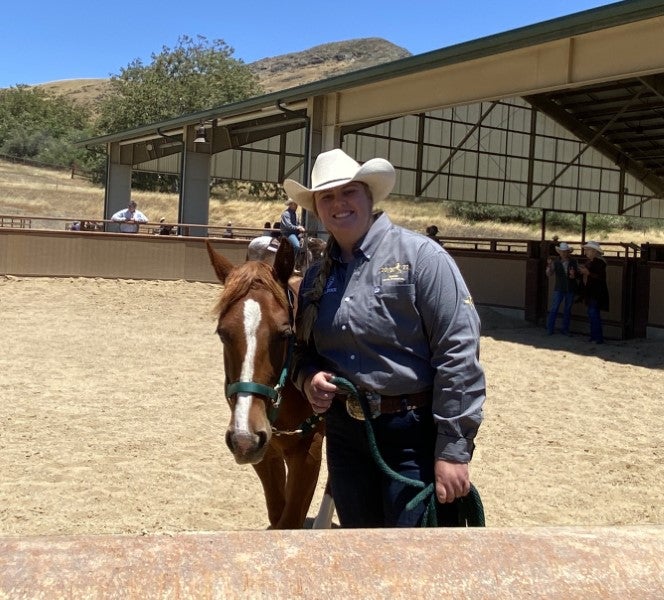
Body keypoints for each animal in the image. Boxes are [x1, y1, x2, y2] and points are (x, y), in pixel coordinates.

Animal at [206, 238, 330, 529]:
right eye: (222, 333)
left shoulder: (307, 451)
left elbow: (290, 520)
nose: (244, 438)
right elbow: (277, 514)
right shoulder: (265, 451)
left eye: (284, 333)